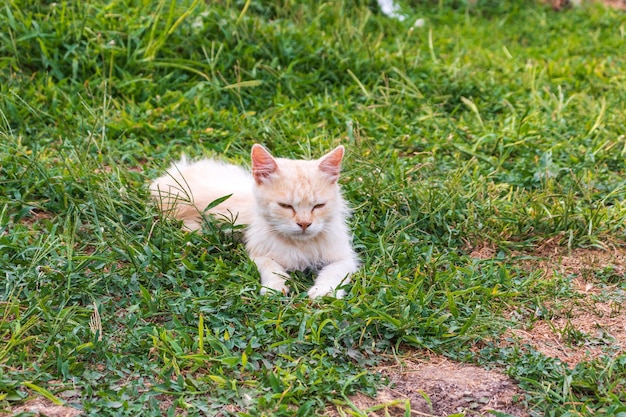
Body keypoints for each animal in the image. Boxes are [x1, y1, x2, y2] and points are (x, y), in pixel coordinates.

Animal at [148, 145, 358, 298]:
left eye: (318, 206)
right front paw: (275, 288)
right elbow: (272, 269)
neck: (301, 245)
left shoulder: (345, 259)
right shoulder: (259, 254)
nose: (305, 224)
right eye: (286, 206)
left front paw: (323, 292)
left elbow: (333, 273)